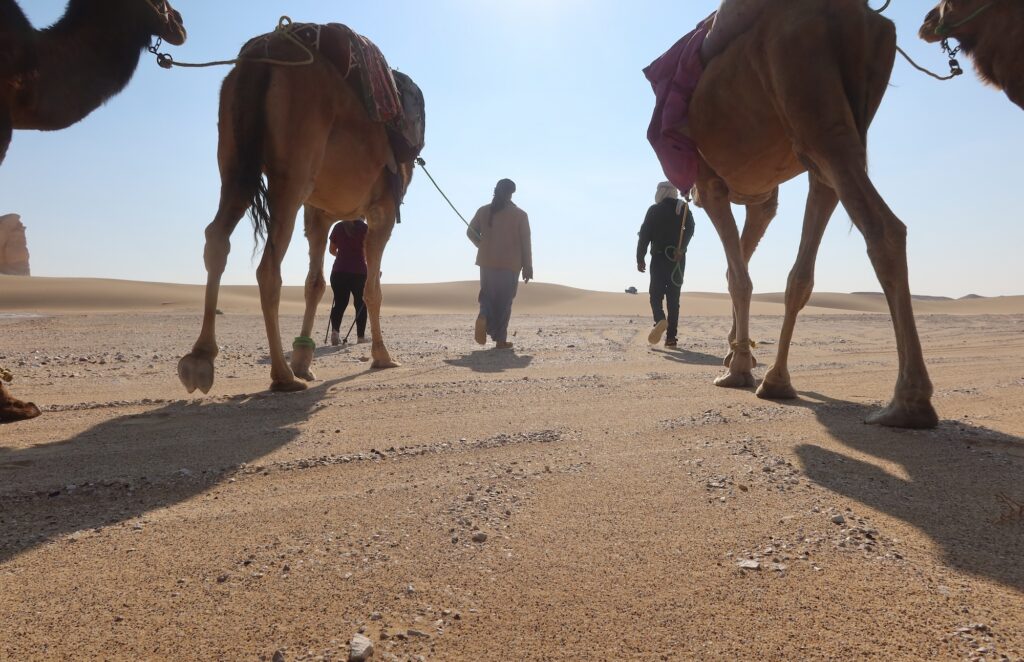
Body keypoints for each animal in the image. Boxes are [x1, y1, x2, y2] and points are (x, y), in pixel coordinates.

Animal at [177, 24, 423, 395]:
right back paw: (281, 375)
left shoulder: (319, 213)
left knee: (217, 236)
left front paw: (305, 362)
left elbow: (315, 284)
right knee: (268, 266)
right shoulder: (380, 211)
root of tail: (260, 57)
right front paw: (382, 357)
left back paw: (201, 358)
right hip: (292, 169)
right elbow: (372, 288)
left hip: (235, 160)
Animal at [684, 0, 939, 428]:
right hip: (835, 130)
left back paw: (906, 403)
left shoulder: (710, 183)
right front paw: (740, 356)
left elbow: (738, 277)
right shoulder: (762, 199)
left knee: (883, 229)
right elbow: (742, 267)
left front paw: (737, 368)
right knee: (808, 260)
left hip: (814, 112)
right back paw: (777, 380)